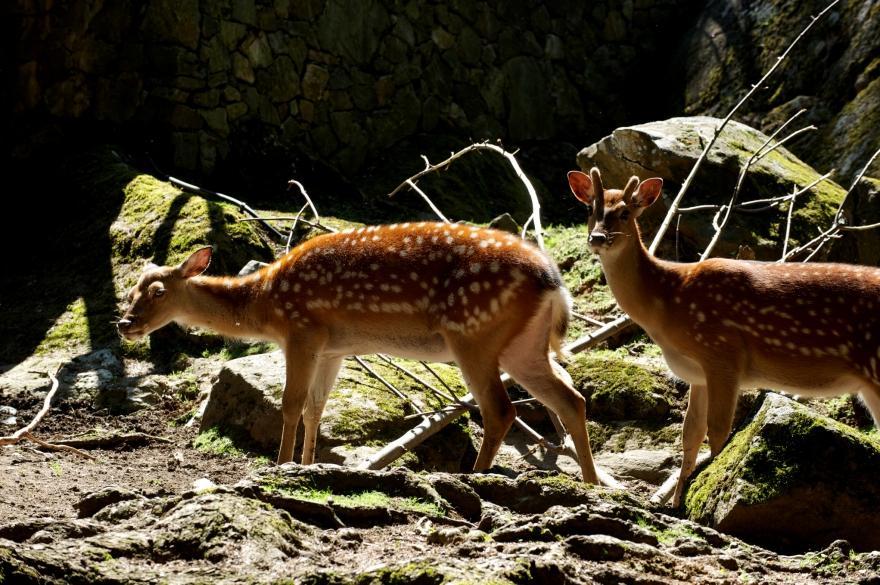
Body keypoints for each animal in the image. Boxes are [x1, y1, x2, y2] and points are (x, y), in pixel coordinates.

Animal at [118, 221, 604, 482]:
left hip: (474, 333)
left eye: (158, 291)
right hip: (523, 346)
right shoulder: (335, 347)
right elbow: (316, 408)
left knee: (501, 410)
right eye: (132, 288)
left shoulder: (303, 330)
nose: (125, 324)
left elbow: (291, 404)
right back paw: (592, 483)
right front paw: (308, 466)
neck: (266, 302)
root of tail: (554, 283)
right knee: (571, 397)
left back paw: (473, 476)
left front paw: (281, 465)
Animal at [568, 167, 880, 504]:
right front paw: (676, 503)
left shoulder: (722, 354)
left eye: (625, 212)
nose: (597, 238)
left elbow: (718, 432)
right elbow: (690, 435)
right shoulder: (697, 373)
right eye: (590, 209)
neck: (667, 304)